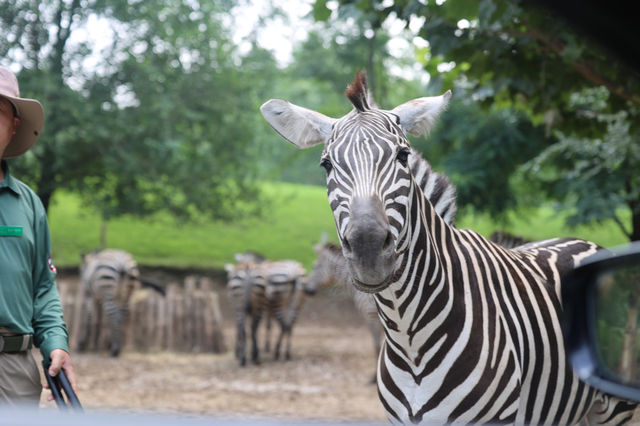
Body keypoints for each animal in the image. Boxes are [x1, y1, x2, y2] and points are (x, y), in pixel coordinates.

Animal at [262, 71, 636, 424]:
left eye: (402, 156)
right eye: (326, 164)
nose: (368, 250)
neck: (407, 337)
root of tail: (587, 243)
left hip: (614, 403)